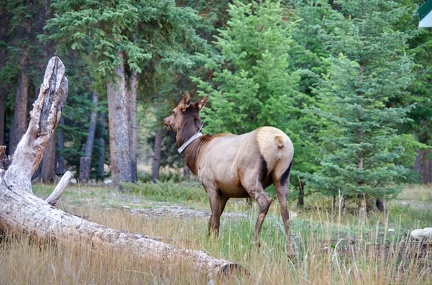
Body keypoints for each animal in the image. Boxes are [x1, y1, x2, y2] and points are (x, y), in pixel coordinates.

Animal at [164, 92, 296, 256]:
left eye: (174, 111)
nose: (165, 119)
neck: (196, 153)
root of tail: (279, 141)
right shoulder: (225, 192)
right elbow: (213, 218)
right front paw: (208, 239)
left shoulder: (211, 186)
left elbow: (215, 219)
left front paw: (214, 243)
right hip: (283, 176)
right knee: (285, 211)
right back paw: (290, 251)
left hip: (250, 177)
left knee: (265, 201)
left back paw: (255, 242)